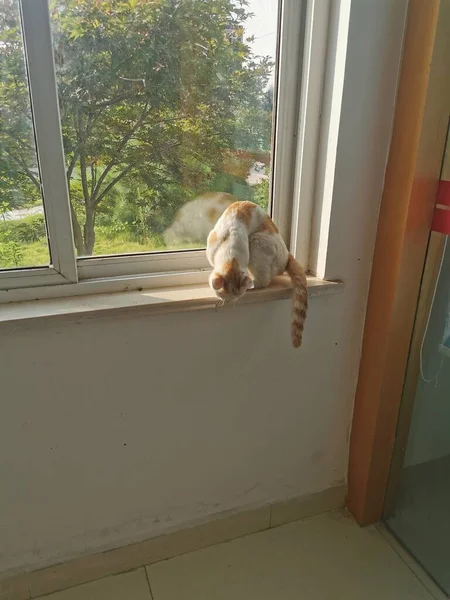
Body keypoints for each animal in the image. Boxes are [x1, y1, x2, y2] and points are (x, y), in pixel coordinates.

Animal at [207, 200, 306, 346]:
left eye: (236, 297)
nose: (229, 303)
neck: (231, 258)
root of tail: (287, 255)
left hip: (255, 241)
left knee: (264, 280)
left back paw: (254, 285)